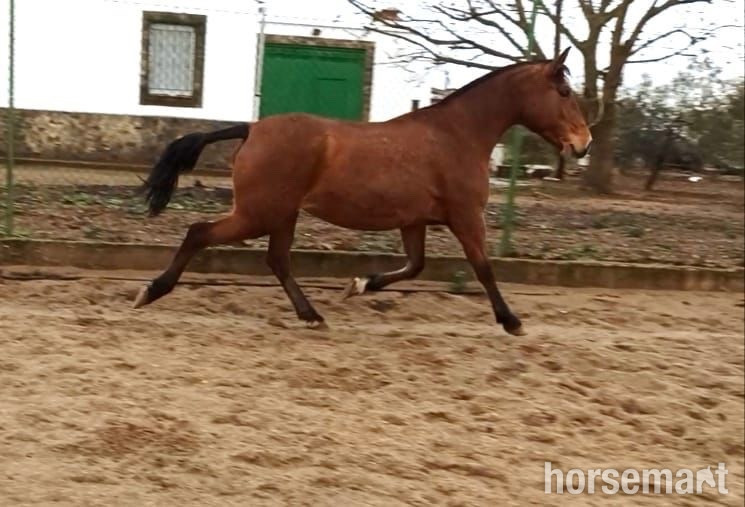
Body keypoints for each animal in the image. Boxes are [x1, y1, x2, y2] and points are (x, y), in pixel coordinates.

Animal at [134, 47, 591, 336]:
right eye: (564, 92)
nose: (583, 144)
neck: (458, 134)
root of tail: (251, 128)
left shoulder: (414, 222)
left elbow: (415, 266)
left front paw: (358, 284)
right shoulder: (465, 217)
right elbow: (483, 268)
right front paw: (512, 321)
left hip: (281, 214)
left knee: (277, 260)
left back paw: (312, 316)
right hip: (258, 213)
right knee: (199, 233)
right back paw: (150, 292)